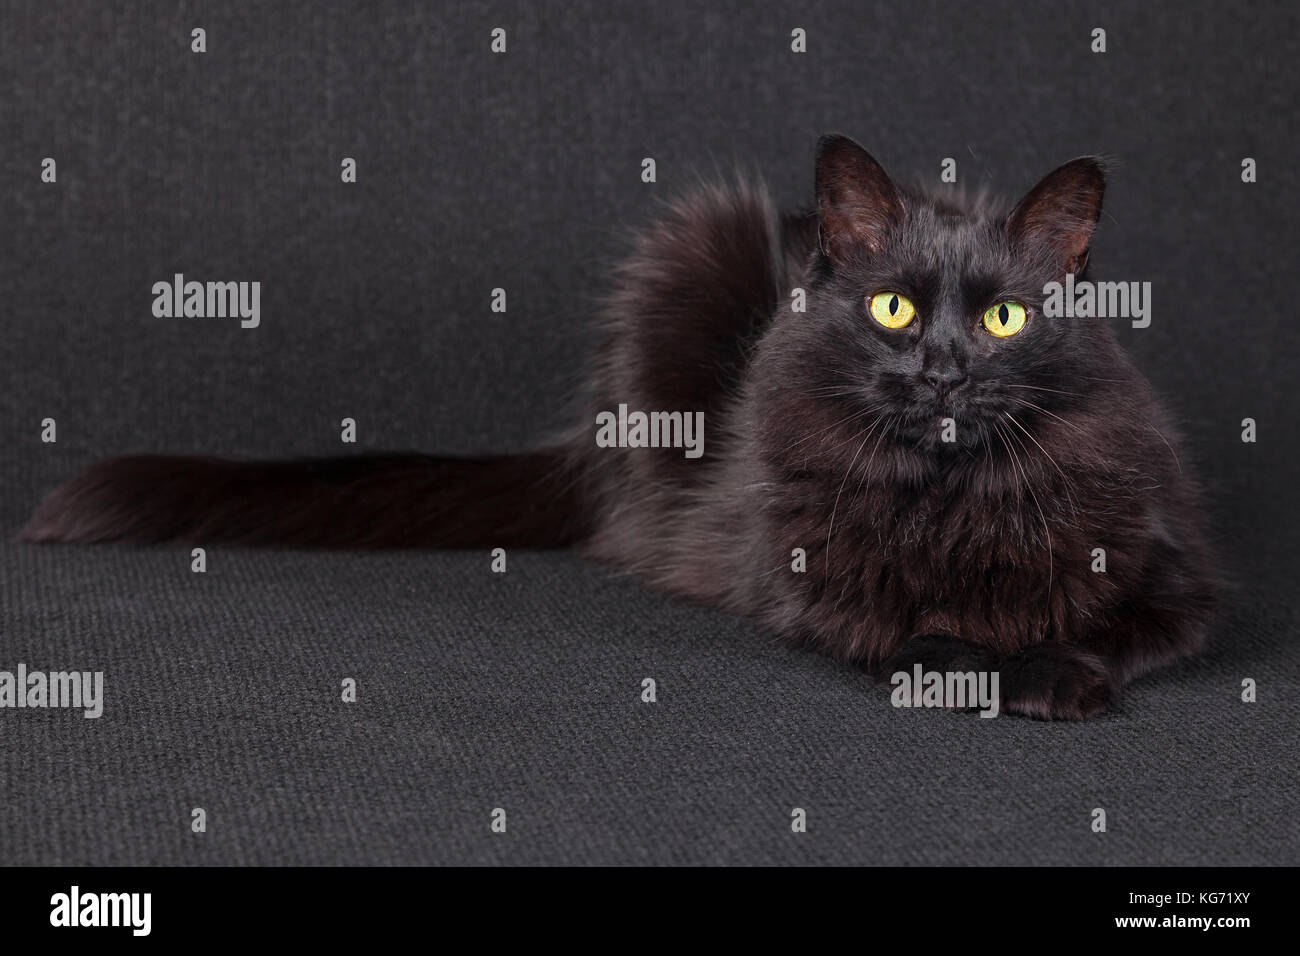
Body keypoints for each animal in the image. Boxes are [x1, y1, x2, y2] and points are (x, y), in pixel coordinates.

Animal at [20, 132, 1216, 717]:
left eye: (1006, 318)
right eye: (894, 311)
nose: (943, 371)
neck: (955, 498)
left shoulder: (1177, 578)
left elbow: (1111, 624)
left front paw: (1058, 672)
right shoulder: (809, 580)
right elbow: (920, 633)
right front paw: (1006, 671)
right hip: (683, 265)